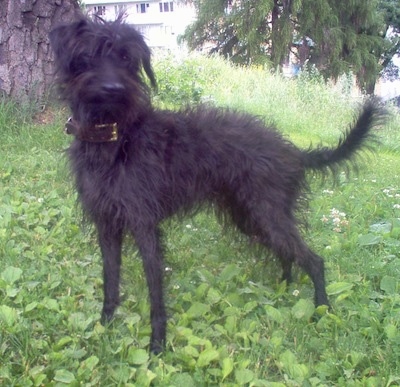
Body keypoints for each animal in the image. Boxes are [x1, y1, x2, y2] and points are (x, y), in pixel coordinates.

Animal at [50, 15, 384, 354]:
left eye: (126, 58)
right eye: (89, 54)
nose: (113, 88)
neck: (115, 135)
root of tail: (293, 151)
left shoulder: (144, 226)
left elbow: (155, 287)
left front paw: (157, 342)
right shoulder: (106, 224)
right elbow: (110, 278)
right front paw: (105, 323)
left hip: (266, 216)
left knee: (314, 260)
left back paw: (322, 308)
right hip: (251, 217)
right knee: (288, 253)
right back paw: (283, 288)